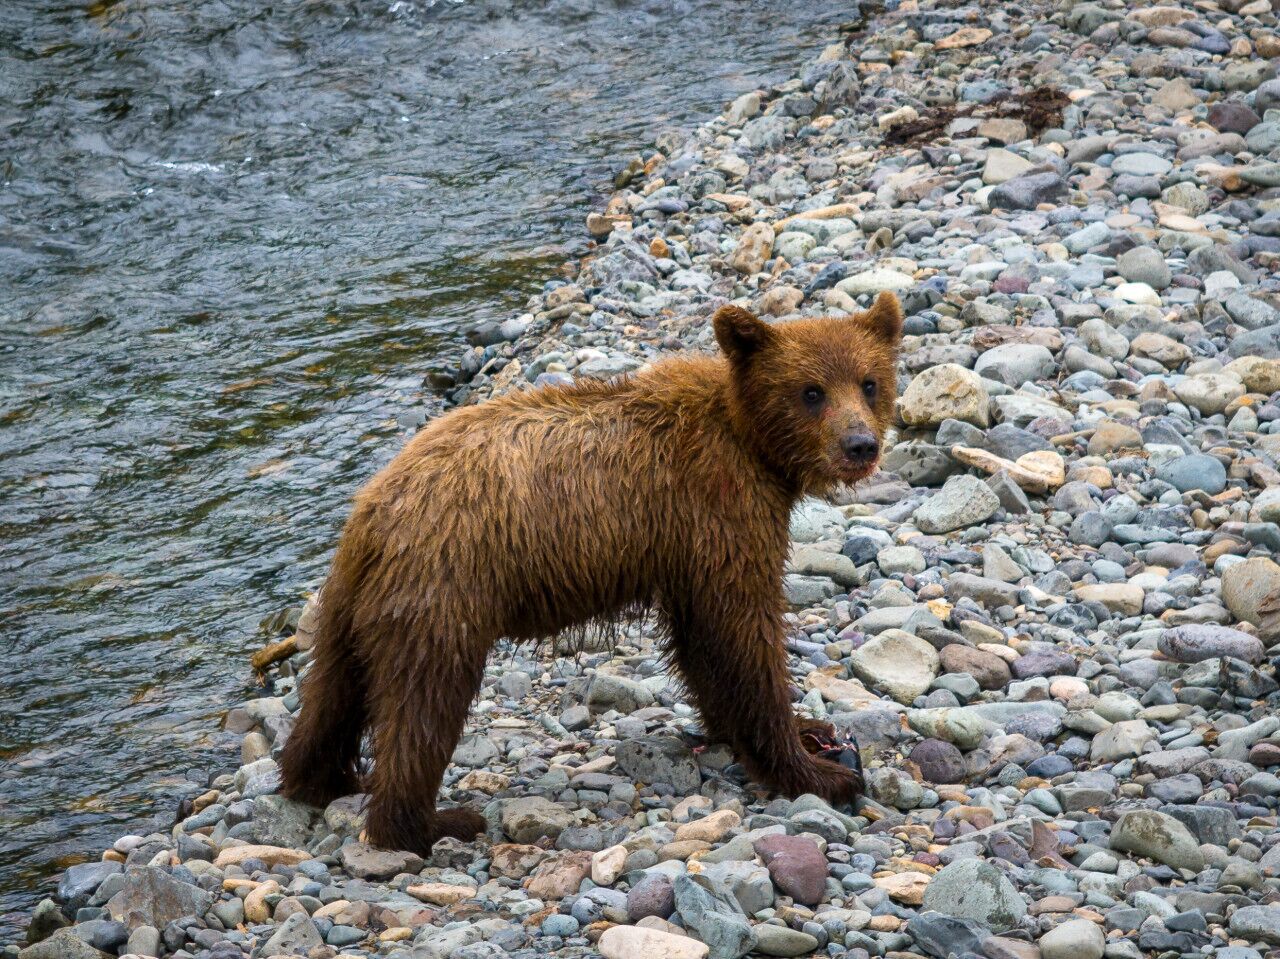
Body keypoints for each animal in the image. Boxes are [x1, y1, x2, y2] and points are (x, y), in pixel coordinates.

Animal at [279, 292, 904, 855]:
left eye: (869, 382)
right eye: (811, 392)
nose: (860, 445)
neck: (752, 443)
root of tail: (374, 508)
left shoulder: (685, 545)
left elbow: (704, 642)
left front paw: (807, 731)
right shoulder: (716, 509)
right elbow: (741, 631)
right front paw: (817, 770)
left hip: (351, 601)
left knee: (333, 691)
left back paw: (322, 778)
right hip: (446, 584)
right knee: (424, 702)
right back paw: (431, 823)